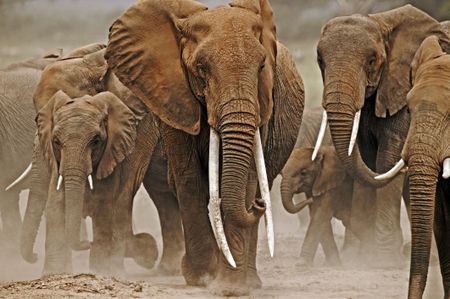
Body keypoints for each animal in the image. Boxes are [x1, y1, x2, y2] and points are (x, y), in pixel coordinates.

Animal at [105, 0, 302, 296]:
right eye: (201, 67)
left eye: (262, 66)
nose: (258, 205)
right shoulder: (174, 96)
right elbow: (189, 177)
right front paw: (202, 278)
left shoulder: (264, 102)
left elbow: (247, 177)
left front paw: (230, 288)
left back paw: (251, 280)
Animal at [312, 4, 450, 268]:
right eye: (320, 61)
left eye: (371, 60)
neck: (380, 22)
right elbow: (365, 157)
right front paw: (360, 257)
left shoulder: (402, 89)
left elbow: (387, 158)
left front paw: (383, 257)